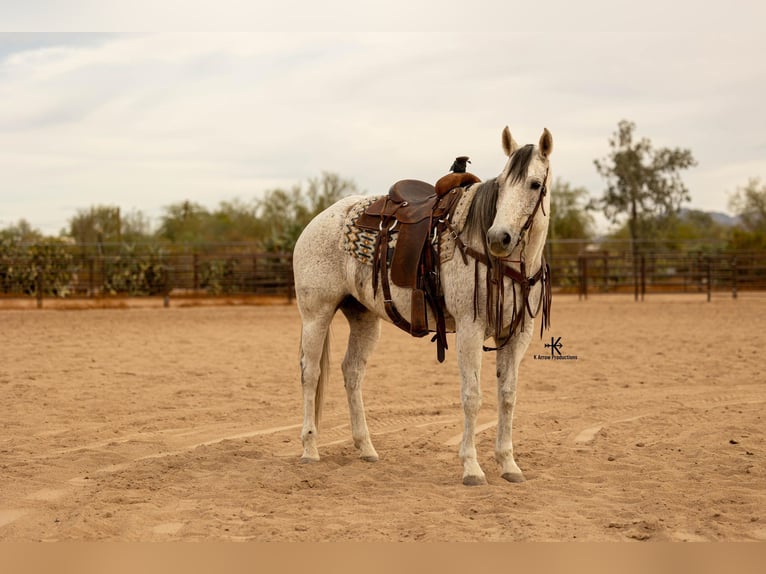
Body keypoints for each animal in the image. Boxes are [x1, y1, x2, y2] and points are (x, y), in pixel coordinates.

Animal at [292, 127, 552, 486]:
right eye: (502, 184)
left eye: (535, 184)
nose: (499, 237)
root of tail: (316, 222)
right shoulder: (470, 330)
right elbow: (472, 396)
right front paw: (472, 467)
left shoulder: (516, 335)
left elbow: (508, 396)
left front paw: (509, 464)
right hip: (315, 314)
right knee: (311, 373)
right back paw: (309, 448)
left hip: (364, 319)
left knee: (352, 372)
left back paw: (365, 447)